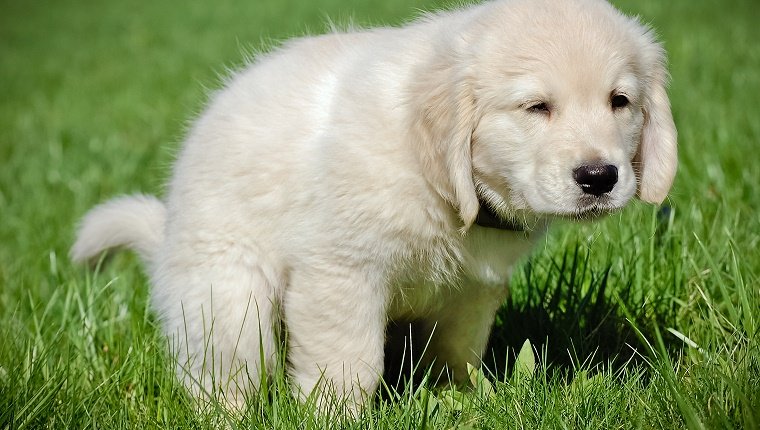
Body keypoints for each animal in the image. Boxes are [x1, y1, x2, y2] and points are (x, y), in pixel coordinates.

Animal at [71, 0, 676, 414]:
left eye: (620, 101)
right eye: (536, 107)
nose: (600, 177)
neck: (442, 185)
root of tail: (167, 238)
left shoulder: (473, 291)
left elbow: (458, 354)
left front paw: (467, 400)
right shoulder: (340, 274)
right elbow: (348, 364)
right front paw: (338, 414)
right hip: (227, 297)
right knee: (222, 374)